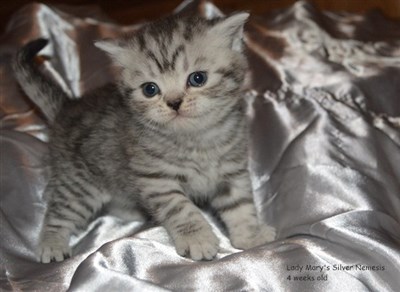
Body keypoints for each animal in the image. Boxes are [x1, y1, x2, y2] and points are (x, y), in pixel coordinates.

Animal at [12, 12, 276, 262]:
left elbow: (241, 205)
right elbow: (182, 209)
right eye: (150, 89)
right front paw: (198, 238)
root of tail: (68, 106)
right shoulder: (156, 179)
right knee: (58, 210)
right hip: (79, 183)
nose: (174, 103)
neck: (195, 140)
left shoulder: (232, 171)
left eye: (197, 78)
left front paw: (250, 235)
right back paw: (52, 243)